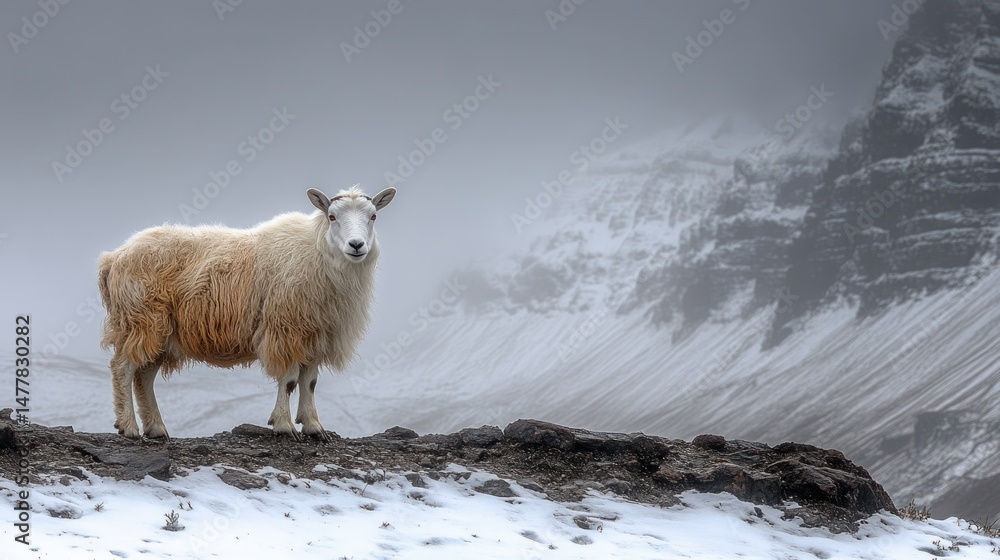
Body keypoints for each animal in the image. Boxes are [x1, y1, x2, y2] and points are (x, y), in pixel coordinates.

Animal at [97, 186, 395, 441]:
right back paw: (129, 427)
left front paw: (313, 427)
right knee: (123, 368)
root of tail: (114, 257)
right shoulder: (284, 329)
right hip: (141, 321)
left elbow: (309, 382)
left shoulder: (316, 334)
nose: (356, 245)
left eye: (373, 216)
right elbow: (289, 381)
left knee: (144, 377)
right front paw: (284, 426)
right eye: (332, 216)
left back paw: (157, 428)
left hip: (160, 332)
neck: (319, 252)